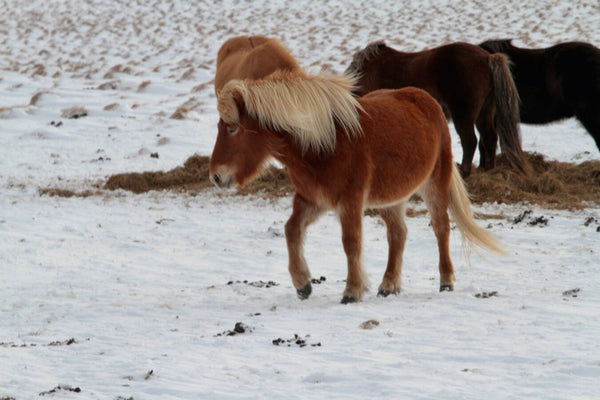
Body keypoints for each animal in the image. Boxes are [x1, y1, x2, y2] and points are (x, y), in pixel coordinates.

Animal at [209, 71, 504, 304]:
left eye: (233, 129)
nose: (215, 176)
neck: (324, 143)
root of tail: (427, 101)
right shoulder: (314, 199)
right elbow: (292, 230)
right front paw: (303, 284)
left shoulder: (349, 201)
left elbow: (351, 243)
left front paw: (352, 291)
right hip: (390, 199)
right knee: (398, 234)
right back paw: (388, 286)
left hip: (434, 185)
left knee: (441, 228)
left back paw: (445, 282)